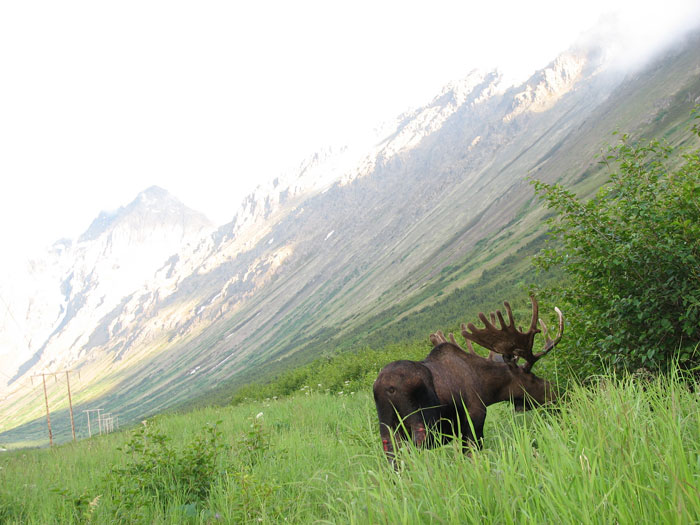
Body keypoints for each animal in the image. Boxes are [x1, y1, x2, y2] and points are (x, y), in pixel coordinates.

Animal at [372, 294, 564, 462]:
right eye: (531, 375)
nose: (556, 391)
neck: (486, 389)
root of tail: (386, 387)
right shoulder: (474, 418)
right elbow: (472, 455)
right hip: (421, 424)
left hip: (388, 429)